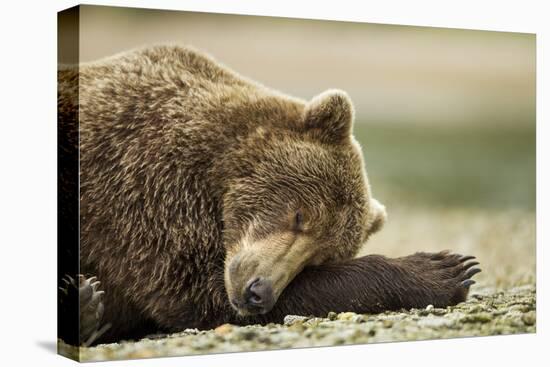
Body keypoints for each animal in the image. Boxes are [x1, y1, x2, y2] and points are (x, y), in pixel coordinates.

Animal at [58, 44, 484, 346]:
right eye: (300, 215)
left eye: (319, 257)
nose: (258, 292)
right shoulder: (143, 189)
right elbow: (194, 289)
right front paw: (444, 268)